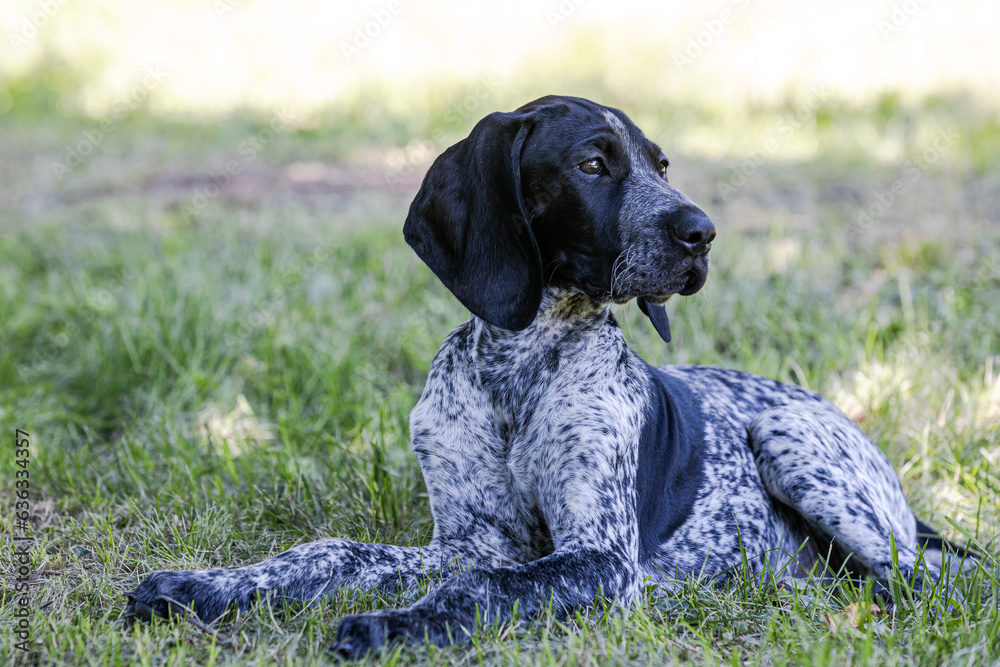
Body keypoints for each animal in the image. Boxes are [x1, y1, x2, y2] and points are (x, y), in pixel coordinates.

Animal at [125, 96, 968, 660]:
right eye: (593, 164)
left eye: (662, 166)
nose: (702, 233)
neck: (519, 372)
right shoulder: (474, 539)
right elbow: (333, 551)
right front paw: (202, 586)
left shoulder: (601, 558)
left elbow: (478, 590)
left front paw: (395, 625)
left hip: (790, 439)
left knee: (928, 578)